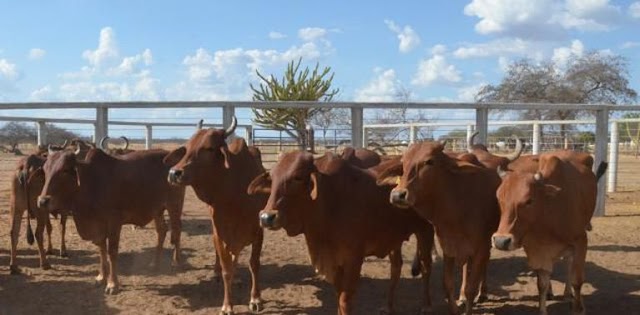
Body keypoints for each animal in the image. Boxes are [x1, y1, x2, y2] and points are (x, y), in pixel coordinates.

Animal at [37, 149, 184, 296]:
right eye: (45, 170)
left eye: (65, 170)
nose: (42, 201)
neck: (91, 182)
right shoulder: (98, 226)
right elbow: (101, 250)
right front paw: (101, 277)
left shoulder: (114, 222)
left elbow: (112, 252)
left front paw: (113, 284)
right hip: (157, 210)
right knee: (162, 231)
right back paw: (155, 264)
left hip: (174, 205)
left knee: (177, 230)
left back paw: (176, 262)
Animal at [165, 118, 268, 314]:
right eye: (187, 147)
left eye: (209, 148)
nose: (174, 173)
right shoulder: (220, 231)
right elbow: (226, 268)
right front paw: (227, 305)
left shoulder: (258, 230)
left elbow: (254, 264)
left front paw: (256, 298)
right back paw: (216, 272)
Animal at [246, 152, 436, 314]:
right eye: (272, 178)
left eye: (297, 177)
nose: (266, 217)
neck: (328, 201)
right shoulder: (334, 260)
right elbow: (338, 296)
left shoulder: (353, 259)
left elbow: (345, 300)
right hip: (394, 238)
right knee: (396, 268)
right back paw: (388, 307)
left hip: (426, 230)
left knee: (426, 267)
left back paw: (427, 306)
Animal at [378, 142, 502, 314]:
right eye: (403, 163)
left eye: (430, 161)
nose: (398, 195)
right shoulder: (449, 248)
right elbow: (447, 283)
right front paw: (455, 308)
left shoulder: (480, 249)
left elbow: (471, 287)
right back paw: (462, 296)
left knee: (482, 267)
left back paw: (482, 293)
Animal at [492, 152, 608, 314]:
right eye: (499, 198)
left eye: (529, 201)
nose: (501, 241)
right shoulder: (538, 250)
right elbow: (542, 283)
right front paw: (543, 307)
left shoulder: (580, 241)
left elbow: (577, 280)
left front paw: (579, 308)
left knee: (569, 263)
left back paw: (568, 294)